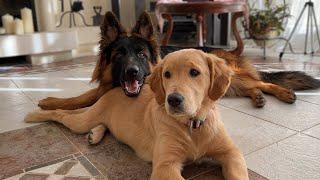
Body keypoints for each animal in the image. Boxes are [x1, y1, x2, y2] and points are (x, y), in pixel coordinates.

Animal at [26, 48, 249, 179]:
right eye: (167, 74)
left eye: (194, 72)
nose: (173, 100)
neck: (192, 125)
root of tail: (113, 90)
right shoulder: (165, 165)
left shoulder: (232, 152)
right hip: (82, 120)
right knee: (62, 115)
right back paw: (38, 114)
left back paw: (95, 134)